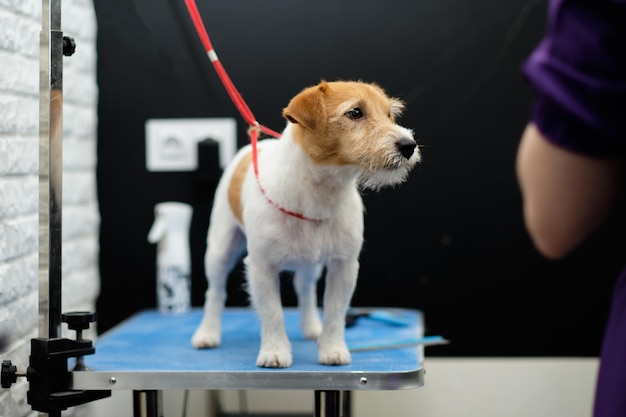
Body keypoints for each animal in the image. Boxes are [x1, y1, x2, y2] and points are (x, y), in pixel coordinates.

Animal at [190, 79, 420, 366]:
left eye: (390, 114)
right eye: (355, 113)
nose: (409, 145)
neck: (321, 190)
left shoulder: (344, 266)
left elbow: (335, 312)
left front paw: (332, 349)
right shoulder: (261, 268)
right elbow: (272, 312)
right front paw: (275, 352)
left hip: (311, 263)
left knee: (306, 290)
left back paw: (312, 327)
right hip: (220, 250)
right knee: (215, 292)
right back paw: (207, 333)